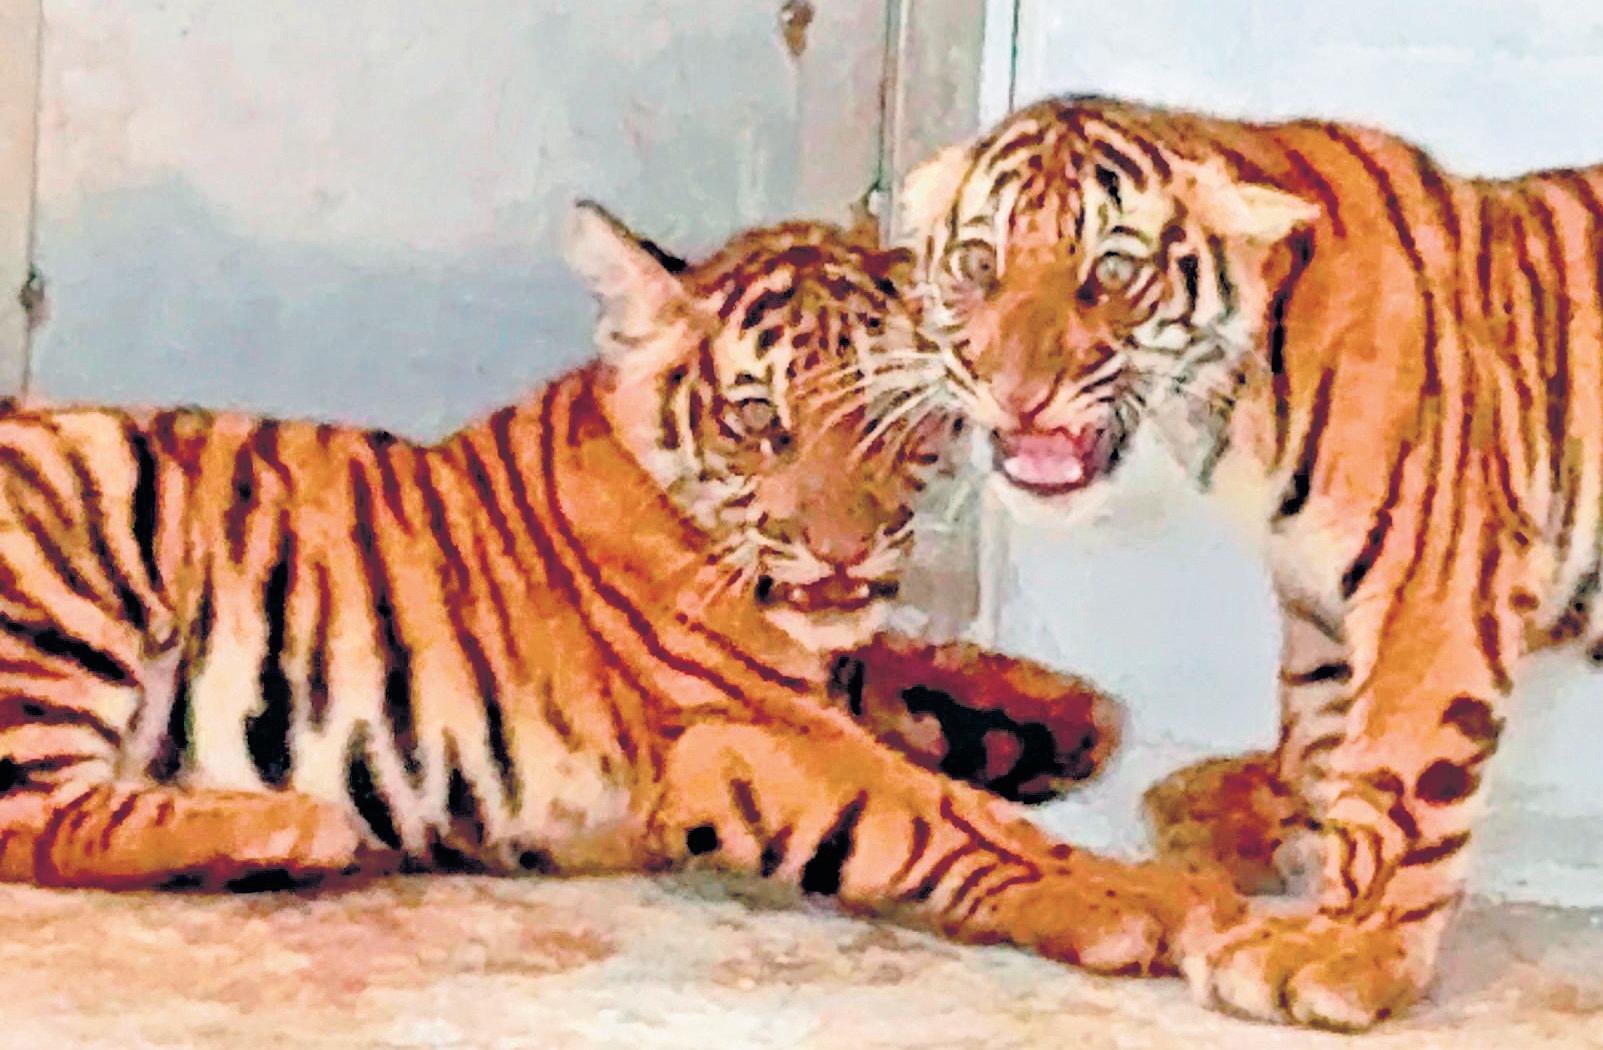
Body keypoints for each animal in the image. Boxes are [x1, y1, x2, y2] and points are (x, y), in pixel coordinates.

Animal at [0, 201, 1238, 979]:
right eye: (758, 421)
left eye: (893, 423)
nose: (841, 552)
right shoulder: (743, 732)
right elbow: (946, 815)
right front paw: (1150, 900)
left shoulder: (809, 671)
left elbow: (894, 665)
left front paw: (1061, 716)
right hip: (75, 543)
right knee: (33, 817)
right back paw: (293, 827)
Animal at [893, 93, 1603, 1029]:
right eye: (979, 262)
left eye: (1112, 268)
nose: (1016, 394)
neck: (1227, 405)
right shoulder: (1316, 599)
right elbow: (1319, 733)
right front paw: (1290, 843)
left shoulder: (1433, 588)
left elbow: (1396, 773)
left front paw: (1343, 950)